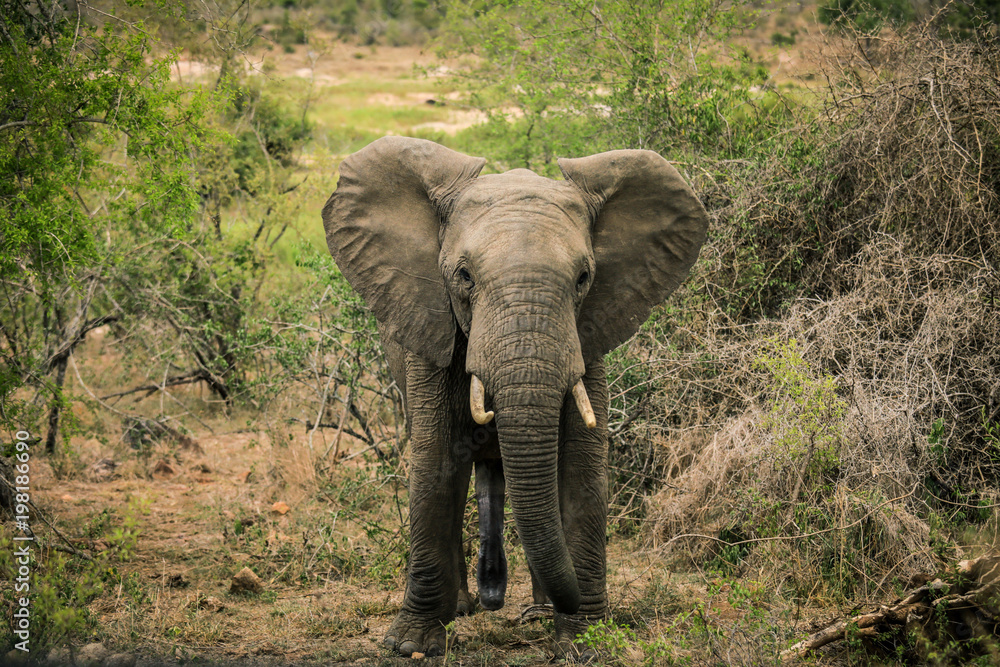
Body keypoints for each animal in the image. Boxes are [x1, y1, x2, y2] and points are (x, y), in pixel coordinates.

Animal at [321, 136, 708, 658]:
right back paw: (466, 608)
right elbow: (436, 462)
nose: (497, 600)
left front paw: (584, 643)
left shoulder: (587, 336)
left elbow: (581, 465)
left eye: (583, 278)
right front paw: (411, 645)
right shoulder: (432, 330)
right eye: (464, 276)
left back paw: (537, 611)